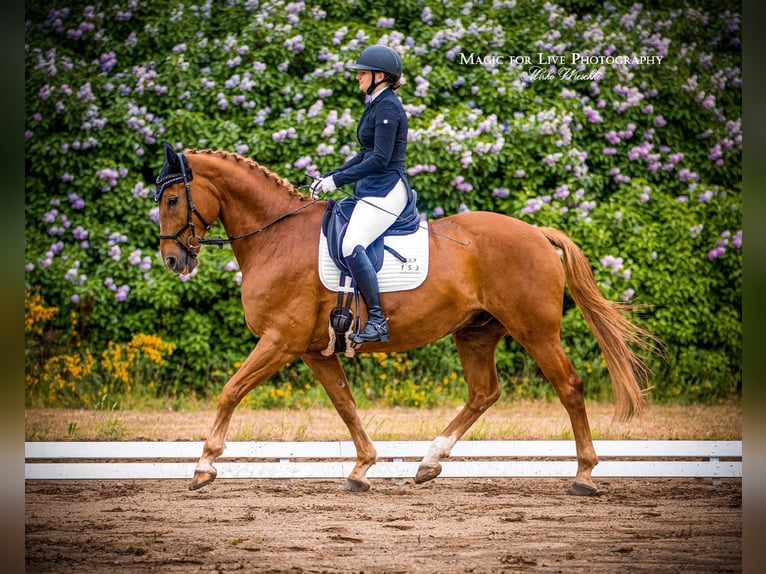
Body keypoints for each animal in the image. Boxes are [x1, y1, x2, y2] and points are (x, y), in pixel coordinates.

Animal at [154, 143, 660, 496]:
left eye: (174, 200)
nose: (174, 260)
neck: (277, 236)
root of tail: (536, 232)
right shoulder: (313, 349)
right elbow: (345, 404)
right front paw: (362, 468)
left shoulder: (280, 340)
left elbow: (231, 390)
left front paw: (204, 465)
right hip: (475, 332)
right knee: (484, 393)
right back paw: (429, 462)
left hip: (535, 331)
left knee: (569, 387)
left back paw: (584, 475)